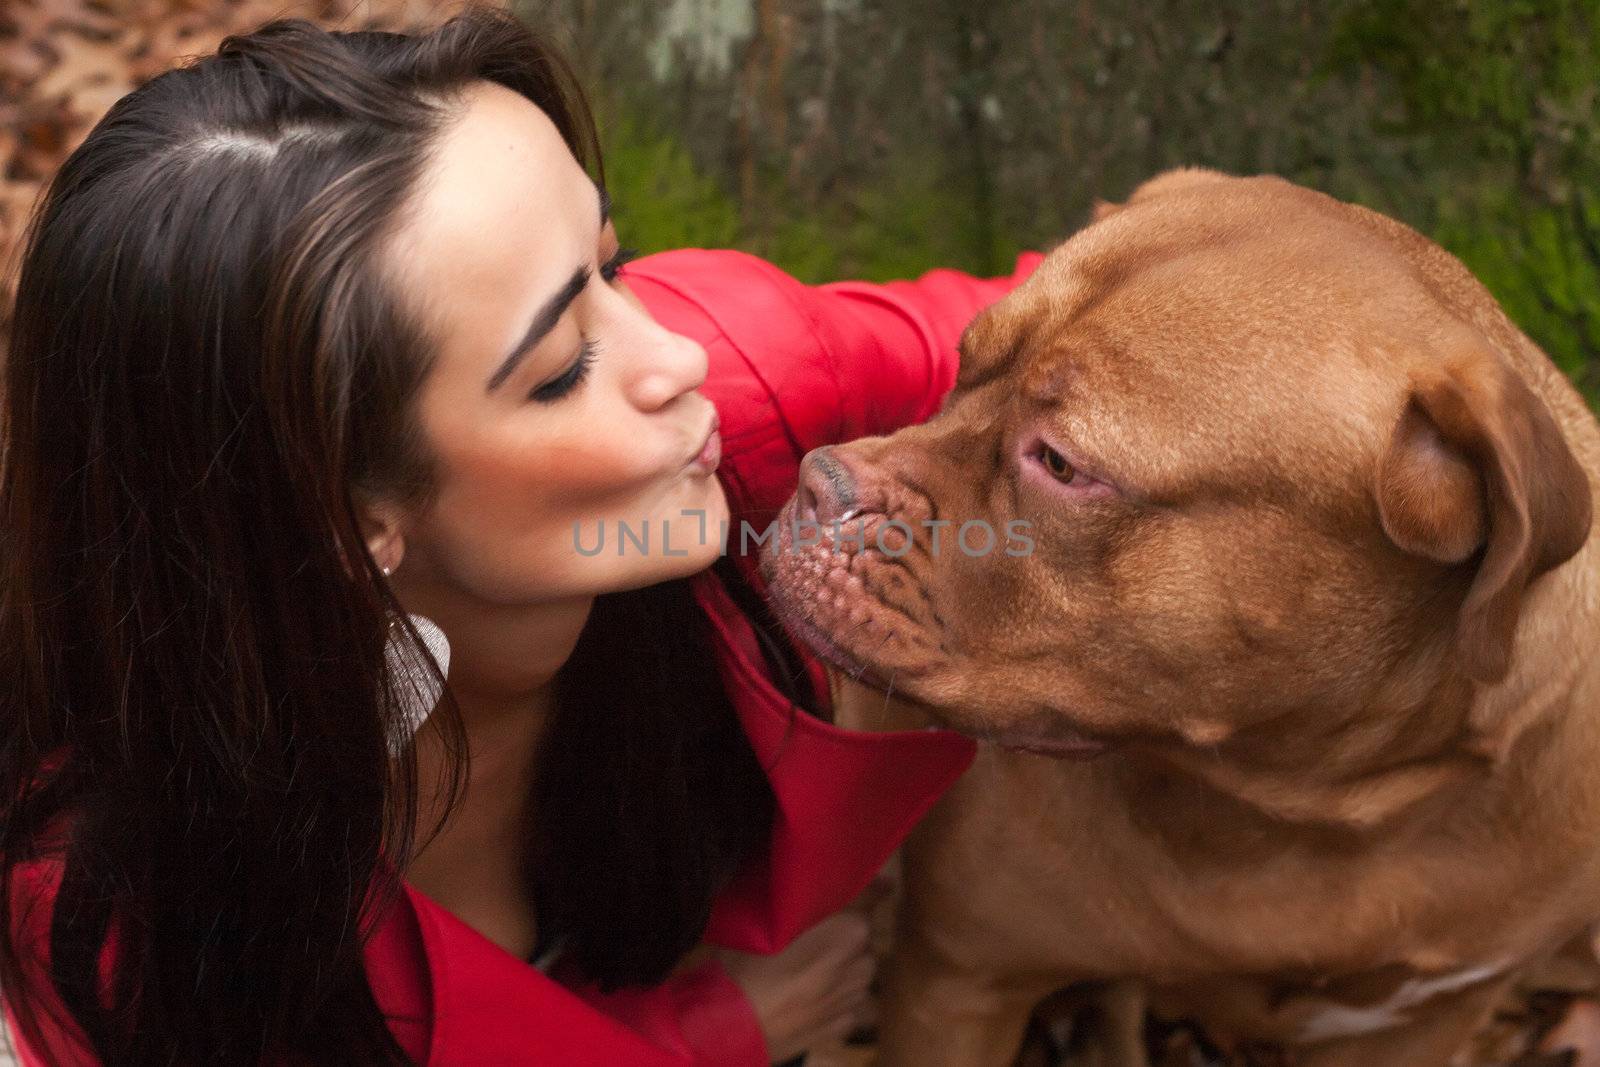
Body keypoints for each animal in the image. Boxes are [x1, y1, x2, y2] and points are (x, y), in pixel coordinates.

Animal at [758, 171, 1600, 1062]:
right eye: (963, 362)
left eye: (1062, 463)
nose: (819, 485)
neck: (1294, 807)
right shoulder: (960, 980)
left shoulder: (1421, 1023)